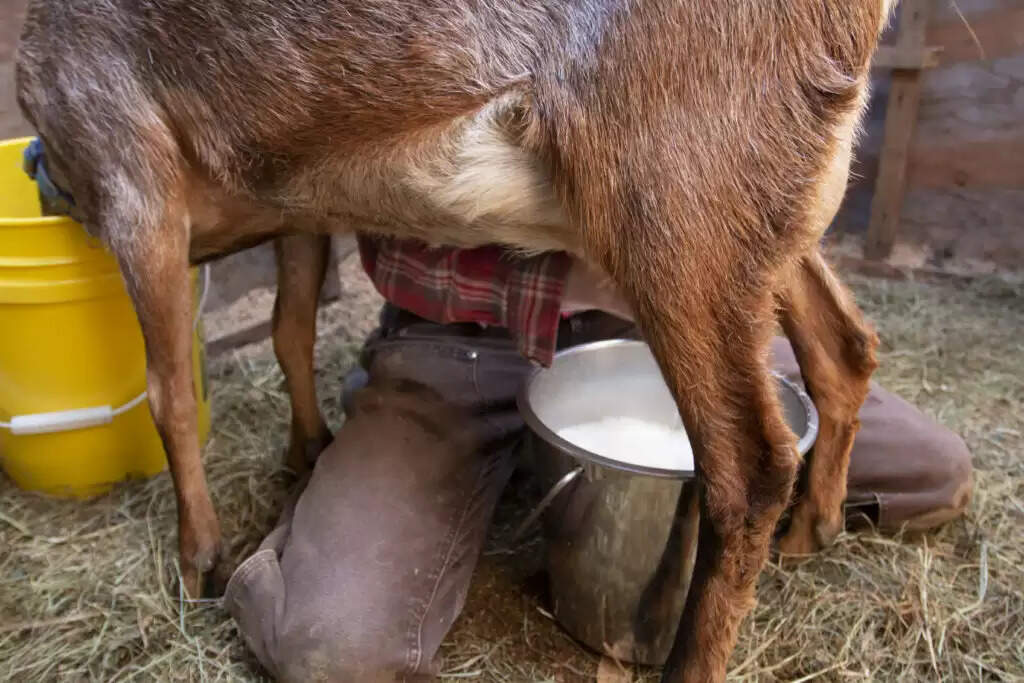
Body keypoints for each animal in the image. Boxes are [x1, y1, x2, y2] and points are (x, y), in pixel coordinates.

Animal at [15, 1, 889, 679]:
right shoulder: (292, 190)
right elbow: (291, 325)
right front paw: (306, 448)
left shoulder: (129, 166)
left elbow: (167, 392)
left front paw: (198, 557)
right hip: (759, 207)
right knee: (844, 345)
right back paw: (815, 529)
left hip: (676, 191)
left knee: (749, 466)